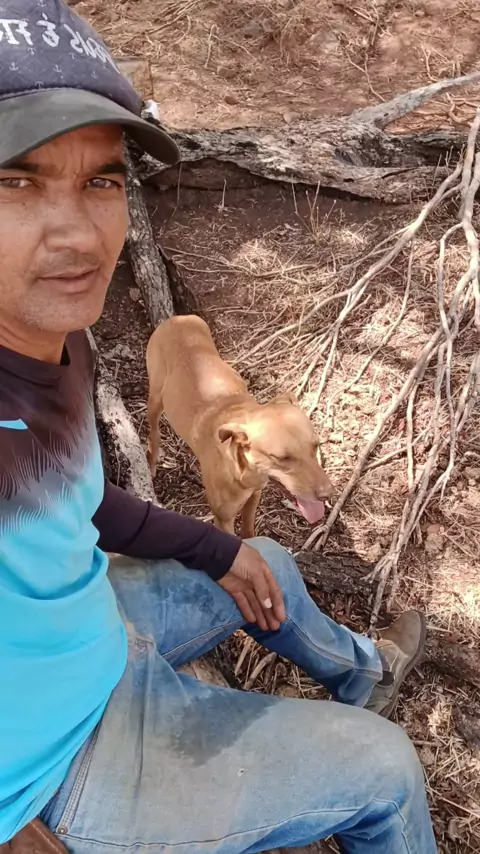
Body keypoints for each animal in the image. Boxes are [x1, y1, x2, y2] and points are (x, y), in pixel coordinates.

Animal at [146, 315, 334, 539]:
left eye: (316, 446)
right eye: (283, 458)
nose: (327, 494)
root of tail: (177, 318)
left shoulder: (254, 496)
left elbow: (248, 529)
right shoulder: (223, 518)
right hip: (155, 399)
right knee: (153, 432)